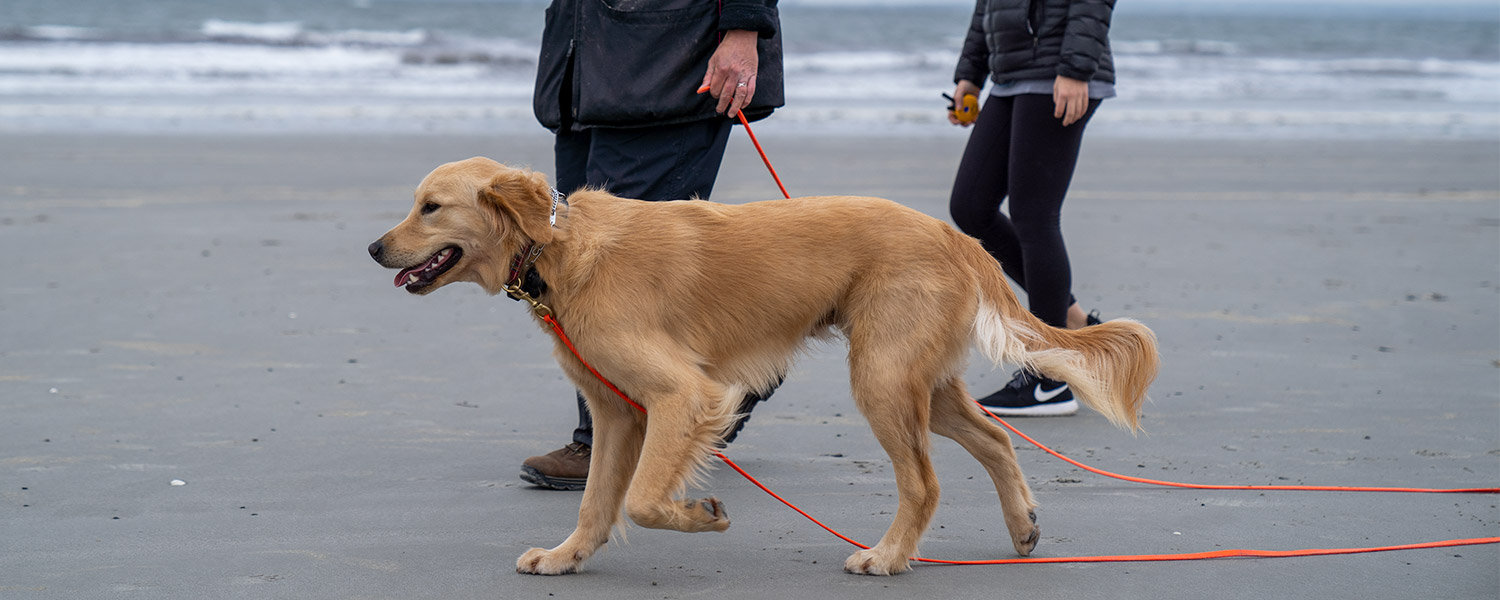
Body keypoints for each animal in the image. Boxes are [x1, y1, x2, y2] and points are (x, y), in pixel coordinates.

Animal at [372, 156, 1158, 573]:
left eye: (431, 207)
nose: (375, 249)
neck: (556, 248)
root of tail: (952, 235)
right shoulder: (617, 411)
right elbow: (598, 501)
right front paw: (567, 557)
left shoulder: (684, 396)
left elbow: (642, 499)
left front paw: (701, 516)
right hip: (919, 382)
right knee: (995, 439)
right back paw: (1022, 526)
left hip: (882, 379)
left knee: (926, 482)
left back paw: (887, 556)